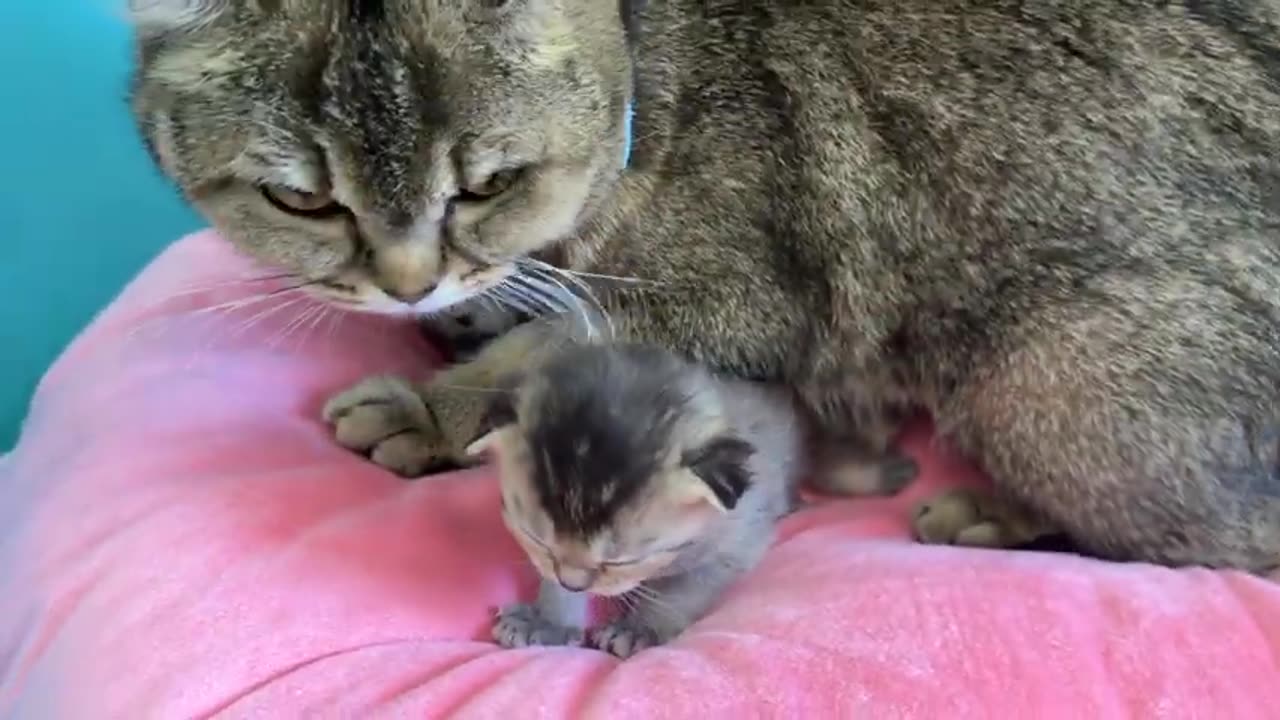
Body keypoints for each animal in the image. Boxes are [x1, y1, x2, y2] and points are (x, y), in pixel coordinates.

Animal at [471, 340, 911, 655]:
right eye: (536, 539)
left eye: (622, 560)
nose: (576, 583)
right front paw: (549, 620)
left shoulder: (738, 537)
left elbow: (685, 588)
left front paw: (641, 628)